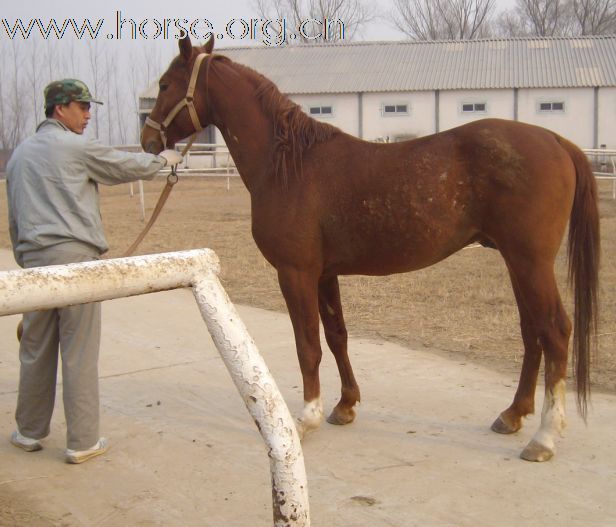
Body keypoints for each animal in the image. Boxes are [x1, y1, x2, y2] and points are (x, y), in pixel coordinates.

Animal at [142, 36, 600, 462]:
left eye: (165, 84)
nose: (147, 138)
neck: (288, 164)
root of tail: (556, 139)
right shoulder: (324, 273)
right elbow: (336, 336)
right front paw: (345, 406)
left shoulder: (295, 272)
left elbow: (307, 344)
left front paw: (307, 417)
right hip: (516, 261)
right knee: (532, 333)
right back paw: (512, 415)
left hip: (530, 262)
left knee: (555, 331)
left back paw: (543, 438)